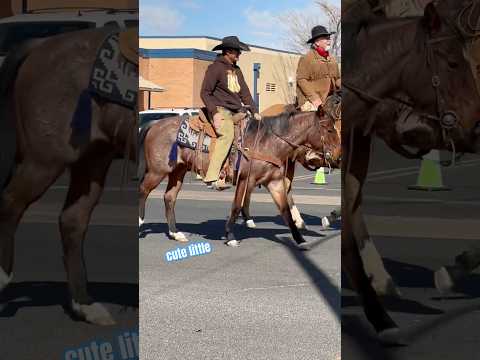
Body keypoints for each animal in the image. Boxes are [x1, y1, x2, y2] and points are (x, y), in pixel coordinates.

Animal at [0, 28, 137, 326]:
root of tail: (41, 44)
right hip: (45, 161)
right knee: (10, 204)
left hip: (92, 158)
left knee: (72, 220)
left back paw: (85, 305)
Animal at [139, 107, 342, 248]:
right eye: (330, 130)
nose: (339, 156)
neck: (268, 142)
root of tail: (154, 124)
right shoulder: (246, 180)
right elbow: (236, 206)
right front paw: (230, 236)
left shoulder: (274, 182)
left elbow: (285, 211)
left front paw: (300, 240)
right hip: (157, 171)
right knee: (143, 190)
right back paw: (141, 223)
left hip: (178, 171)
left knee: (169, 198)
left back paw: (175, 233)